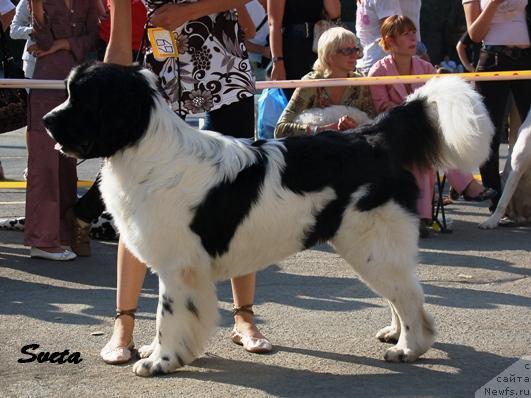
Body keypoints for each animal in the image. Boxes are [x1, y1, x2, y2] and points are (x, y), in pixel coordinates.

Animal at [43, 62, 496, 376]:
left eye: (82, 99)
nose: (46, 120)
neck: (146, 149)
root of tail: (369, 136)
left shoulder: (179, 267)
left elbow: (167, 317)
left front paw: (161, 361)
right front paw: (160, 356)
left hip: (371, 245)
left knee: (412, 298)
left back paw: (408, 348)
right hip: (369, 248)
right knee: (400, 293)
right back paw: (395, 333)